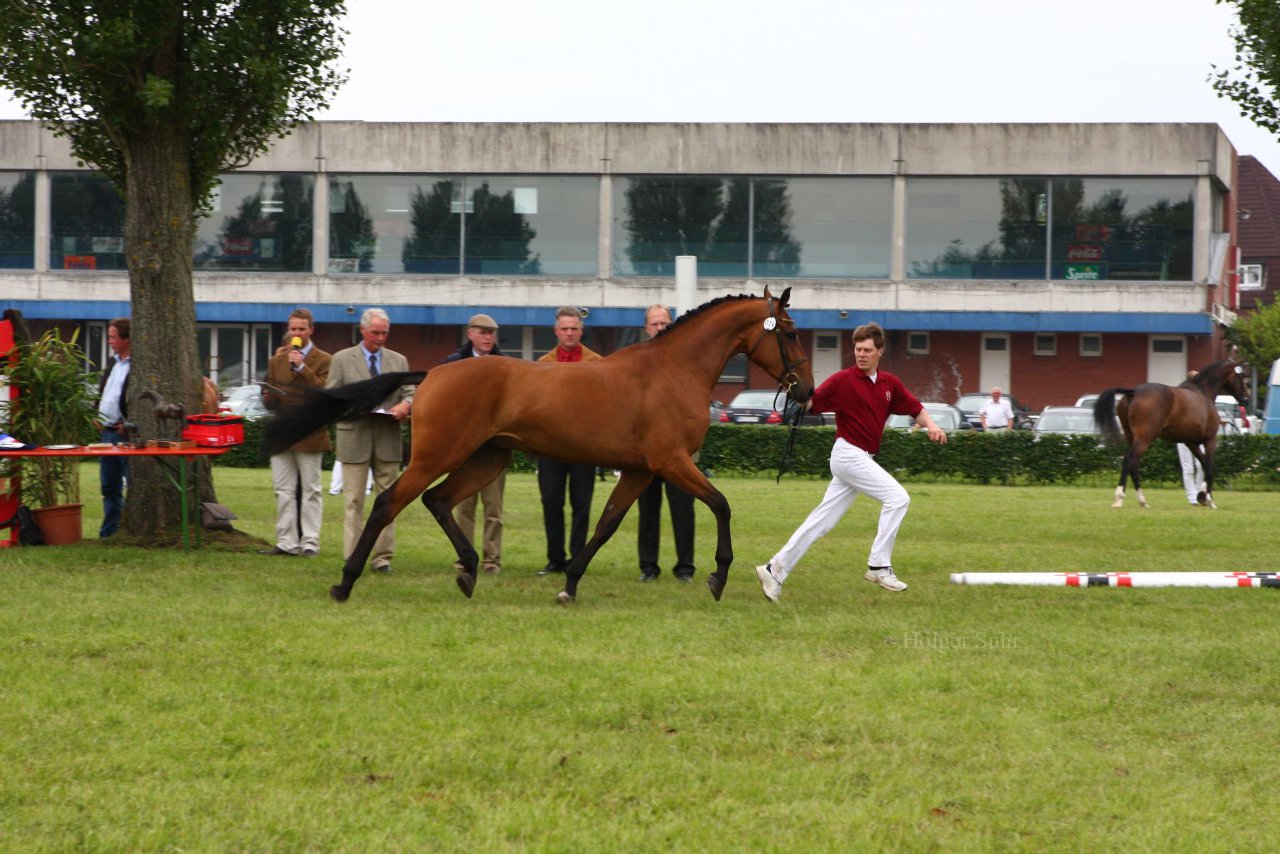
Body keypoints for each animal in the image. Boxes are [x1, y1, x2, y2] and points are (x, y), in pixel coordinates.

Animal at [264, 289, 814, 606]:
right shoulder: (670, 462)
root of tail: (435, 372)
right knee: (389, 503)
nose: (806, 391)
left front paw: (569, 584)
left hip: (489, 458)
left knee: (438, 501)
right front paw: (718, 575)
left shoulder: (640, 471)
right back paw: (346, 582)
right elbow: (721, 504)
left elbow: (605, 524)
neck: (672, 371)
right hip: (438, 455)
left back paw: (469, 571)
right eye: (788, 331)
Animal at [1090, 358, 1249, 507]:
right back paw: (1119, 499)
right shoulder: (1210, 440)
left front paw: (1202, 496)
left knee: (1133, 465)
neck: (1203, 393)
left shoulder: (1191, 443)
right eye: (1243, 377)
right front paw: (1209, 500)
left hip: (1131, 437)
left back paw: (1143, 501)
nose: (1246, 400)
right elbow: (1209, 467)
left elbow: (1203, 464)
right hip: (1144, 438)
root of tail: (1134, 392)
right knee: (1129, 460)